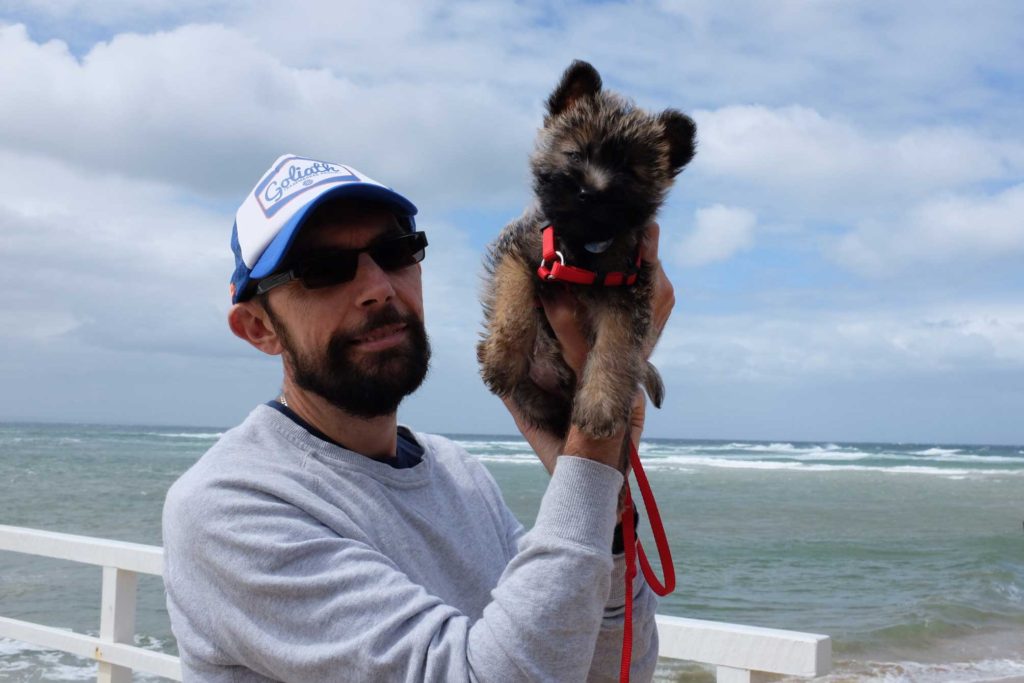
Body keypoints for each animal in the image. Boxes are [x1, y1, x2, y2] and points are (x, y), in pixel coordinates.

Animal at [479, 61, 696, 440]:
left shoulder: (627, 297)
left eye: (629, 173)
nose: (590, 193)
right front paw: (503, 358)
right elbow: (513, 304)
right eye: (575, 154)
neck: (581, 245)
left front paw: (601, 405)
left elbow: (615, 349)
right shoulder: (517, 251)